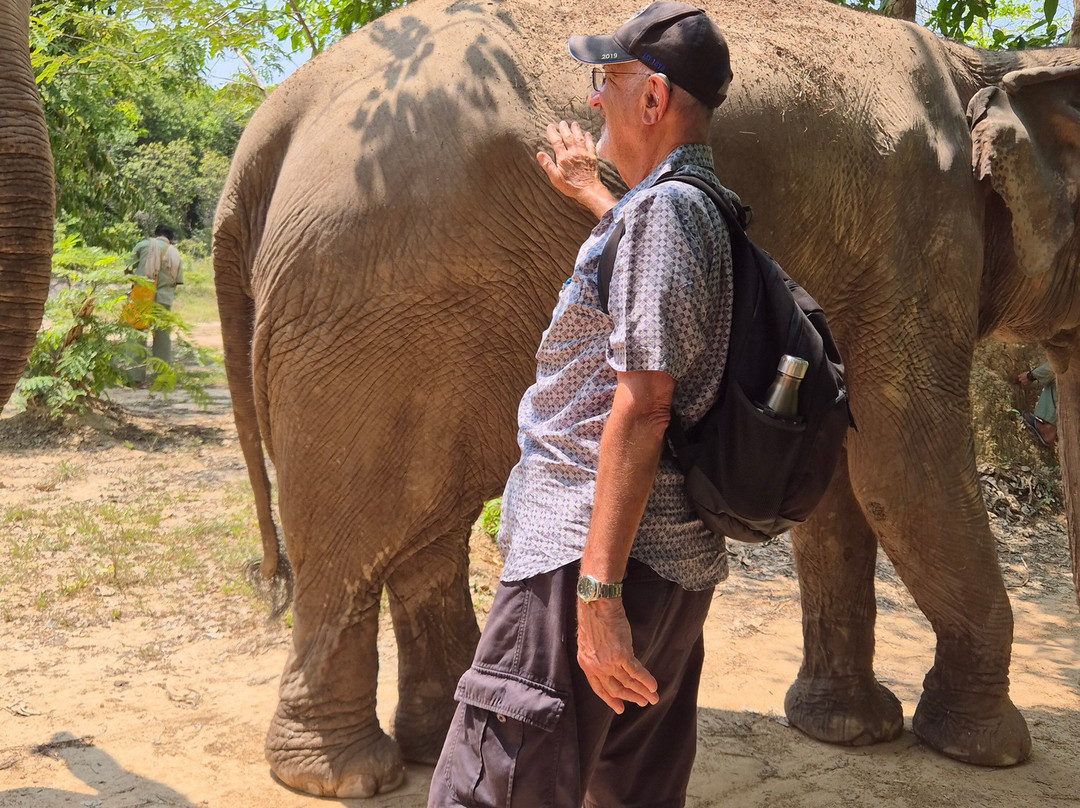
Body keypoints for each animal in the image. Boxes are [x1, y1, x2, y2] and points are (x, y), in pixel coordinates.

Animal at [212, 0, 1080, 798]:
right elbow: (904, 469)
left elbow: (842, 486)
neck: (986, 66)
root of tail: (282, 111)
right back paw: (344, 776)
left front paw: (847, 730)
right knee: (356, 536)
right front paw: (988, 750)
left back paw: (426, 743)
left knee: (428, 524)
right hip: (366, 298)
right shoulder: (919, 238)